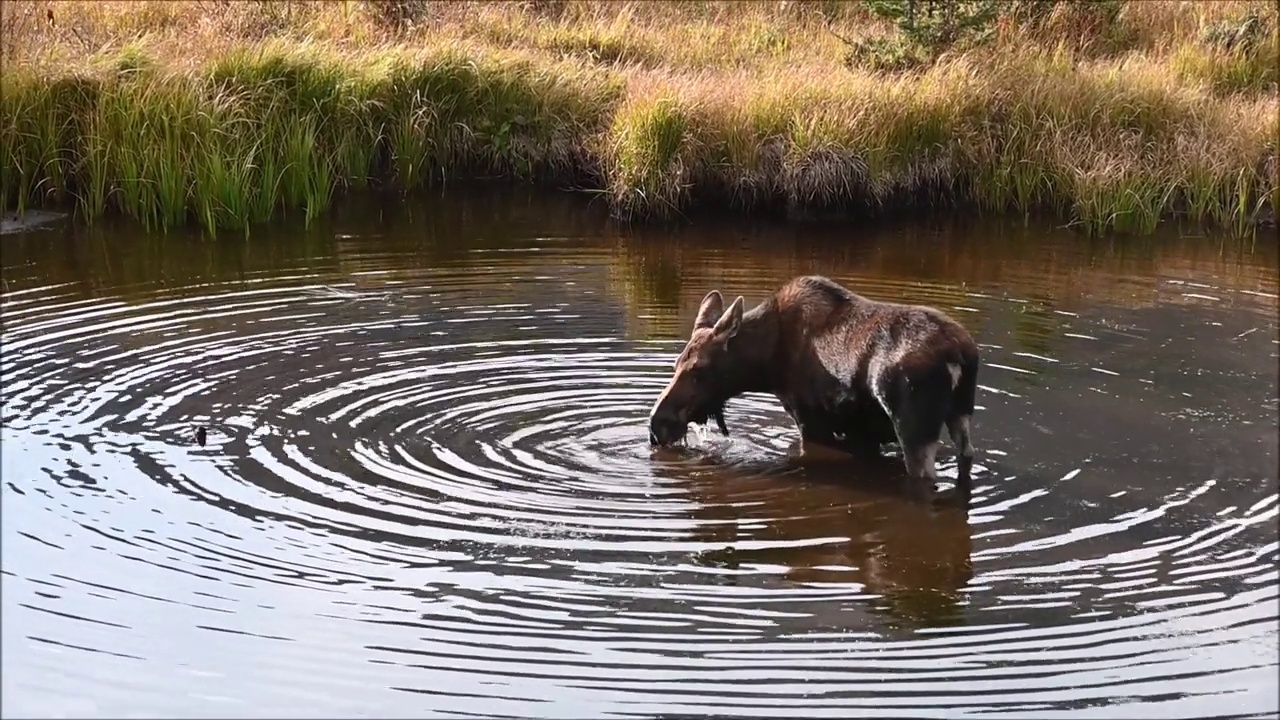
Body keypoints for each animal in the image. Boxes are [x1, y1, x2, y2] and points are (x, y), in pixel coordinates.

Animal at [650, 271, 977, 502]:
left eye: (699, 368)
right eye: (676, 363)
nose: (657, 424)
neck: (765, 366)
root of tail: (960, 353)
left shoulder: (809, 418)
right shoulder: (860, 433)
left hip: (913, 430)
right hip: (961, 414)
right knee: (966, 455)